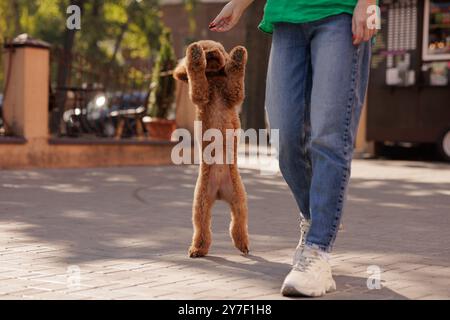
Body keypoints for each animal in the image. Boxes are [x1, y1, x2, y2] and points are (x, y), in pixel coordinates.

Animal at [173, 41, 250, 258]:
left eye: (220, 48)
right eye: (206, 49)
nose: (212, 54)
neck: (214, 79)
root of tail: (220, 191)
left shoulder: (233, 94)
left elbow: (236, 80)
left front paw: (238, 56)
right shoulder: (201, 94)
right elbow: (196, 76)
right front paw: (194, 55)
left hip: (239, 200)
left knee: (238, 223)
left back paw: (242, 244)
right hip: (201, 202)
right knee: (202, 227)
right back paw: (198, 248)